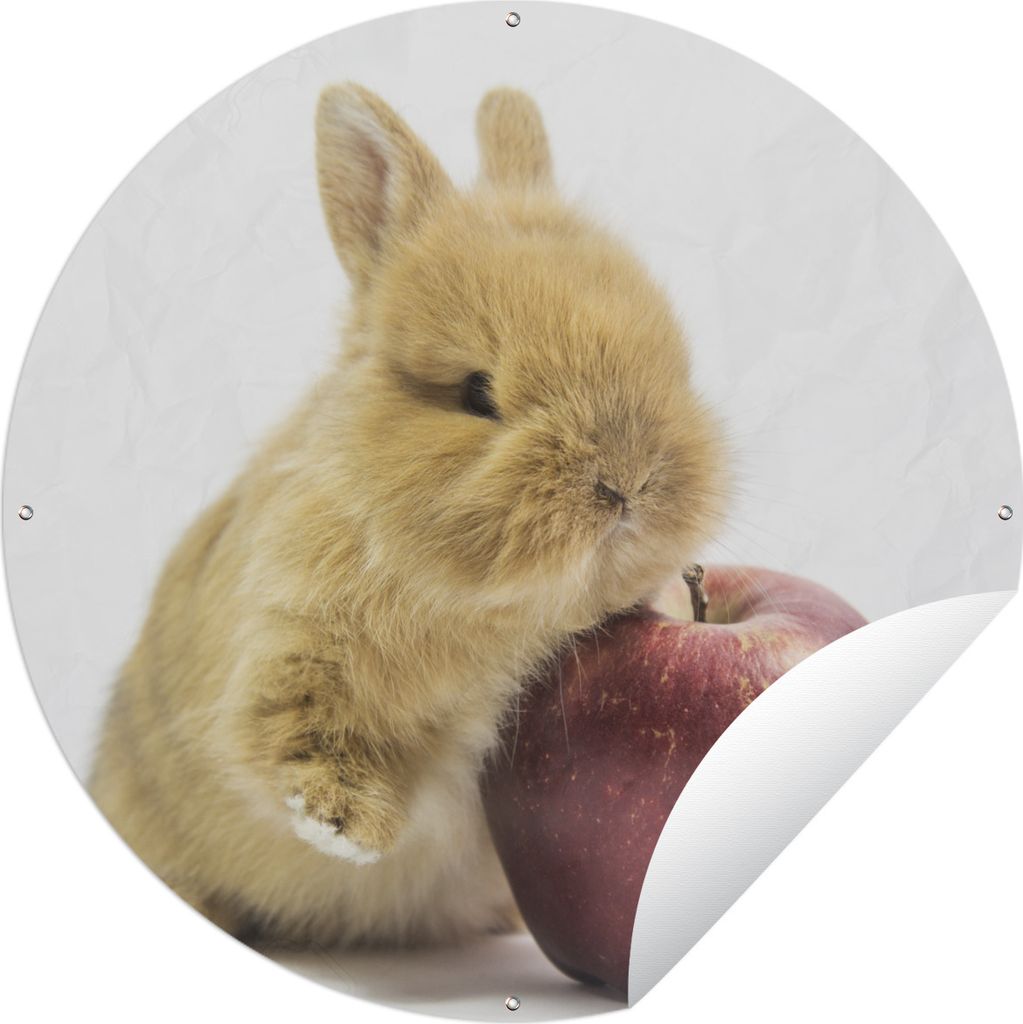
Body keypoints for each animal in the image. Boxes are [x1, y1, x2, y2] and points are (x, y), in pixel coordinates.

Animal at [88, 84, 729, 947]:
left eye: (669, 358)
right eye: (475, 393)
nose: (628, 482)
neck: (497, 614)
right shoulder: (283, 650)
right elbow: (283, 740)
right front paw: (347, 828)